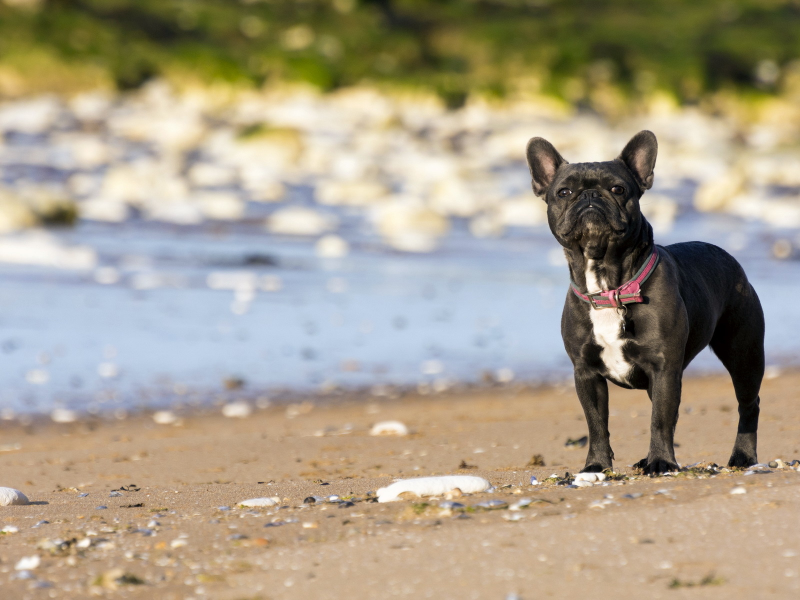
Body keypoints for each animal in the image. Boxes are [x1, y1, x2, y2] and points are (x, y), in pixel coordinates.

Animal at [524, 130, 764, 474]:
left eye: (618, 188)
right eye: (564, 192)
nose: (590, 197)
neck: (609, 285)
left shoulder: (664, 369)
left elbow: (660, 419)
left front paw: (661, 461)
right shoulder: (586, 373)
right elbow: (596, 423)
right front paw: (597, 465)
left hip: (743, 353)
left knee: (748, 403)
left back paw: (743, 455)